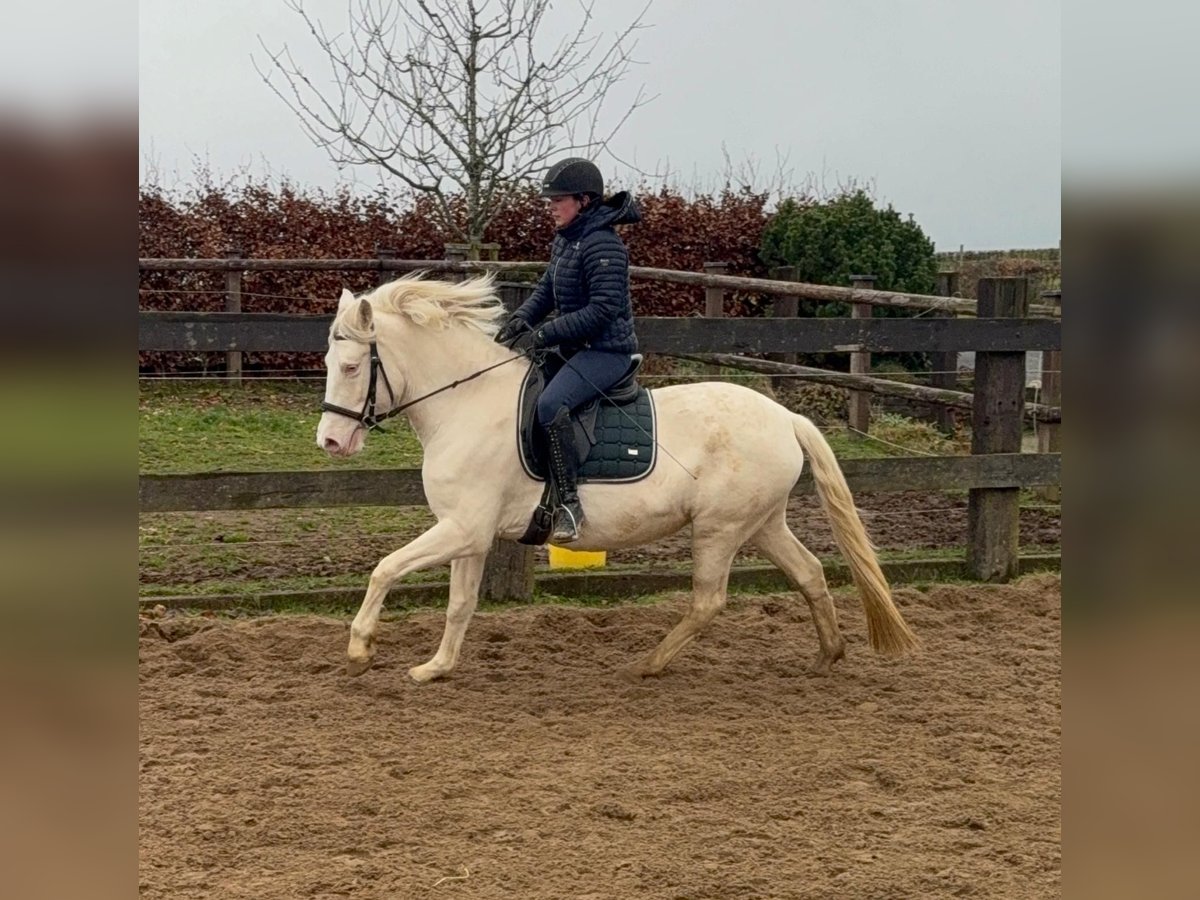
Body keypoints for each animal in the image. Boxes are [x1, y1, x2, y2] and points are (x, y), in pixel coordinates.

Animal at [316, 273, 919, 683]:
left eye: (351, 367)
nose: (331, 442)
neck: (466, 402)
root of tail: (786, 417)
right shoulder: (469, 533)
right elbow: (459, 603)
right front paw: (435, 668)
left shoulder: (463, 528)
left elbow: (385, 568)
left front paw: (360, 648)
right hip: (763, 523)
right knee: (810, 573)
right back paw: (828, 654)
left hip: (719, 529)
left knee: (708, 601)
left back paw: (645, 665)